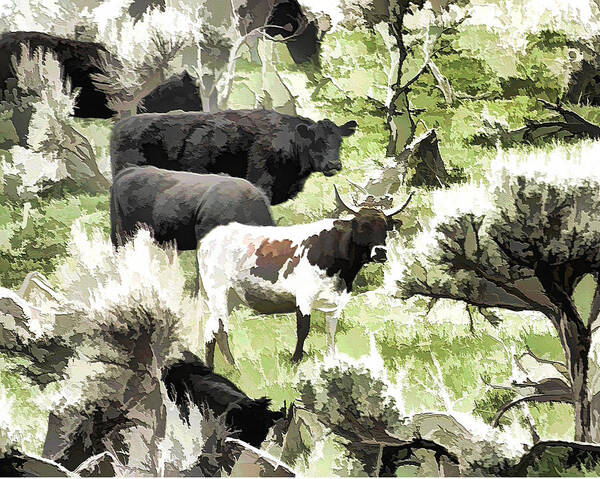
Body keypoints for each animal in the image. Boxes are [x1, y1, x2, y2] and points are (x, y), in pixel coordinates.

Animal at [197, 186, 412, 366]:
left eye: (385, 228)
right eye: (362, 226)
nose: (381, 252)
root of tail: (209, 239)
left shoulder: (335, 304)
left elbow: (330, 332)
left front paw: (331, 359)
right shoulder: (304, 297)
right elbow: (303, 328)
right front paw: (295, 360)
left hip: (229, 297)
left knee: (210, 330)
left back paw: (212, 367)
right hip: (218, 292)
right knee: (220, 329)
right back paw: (234, 367)